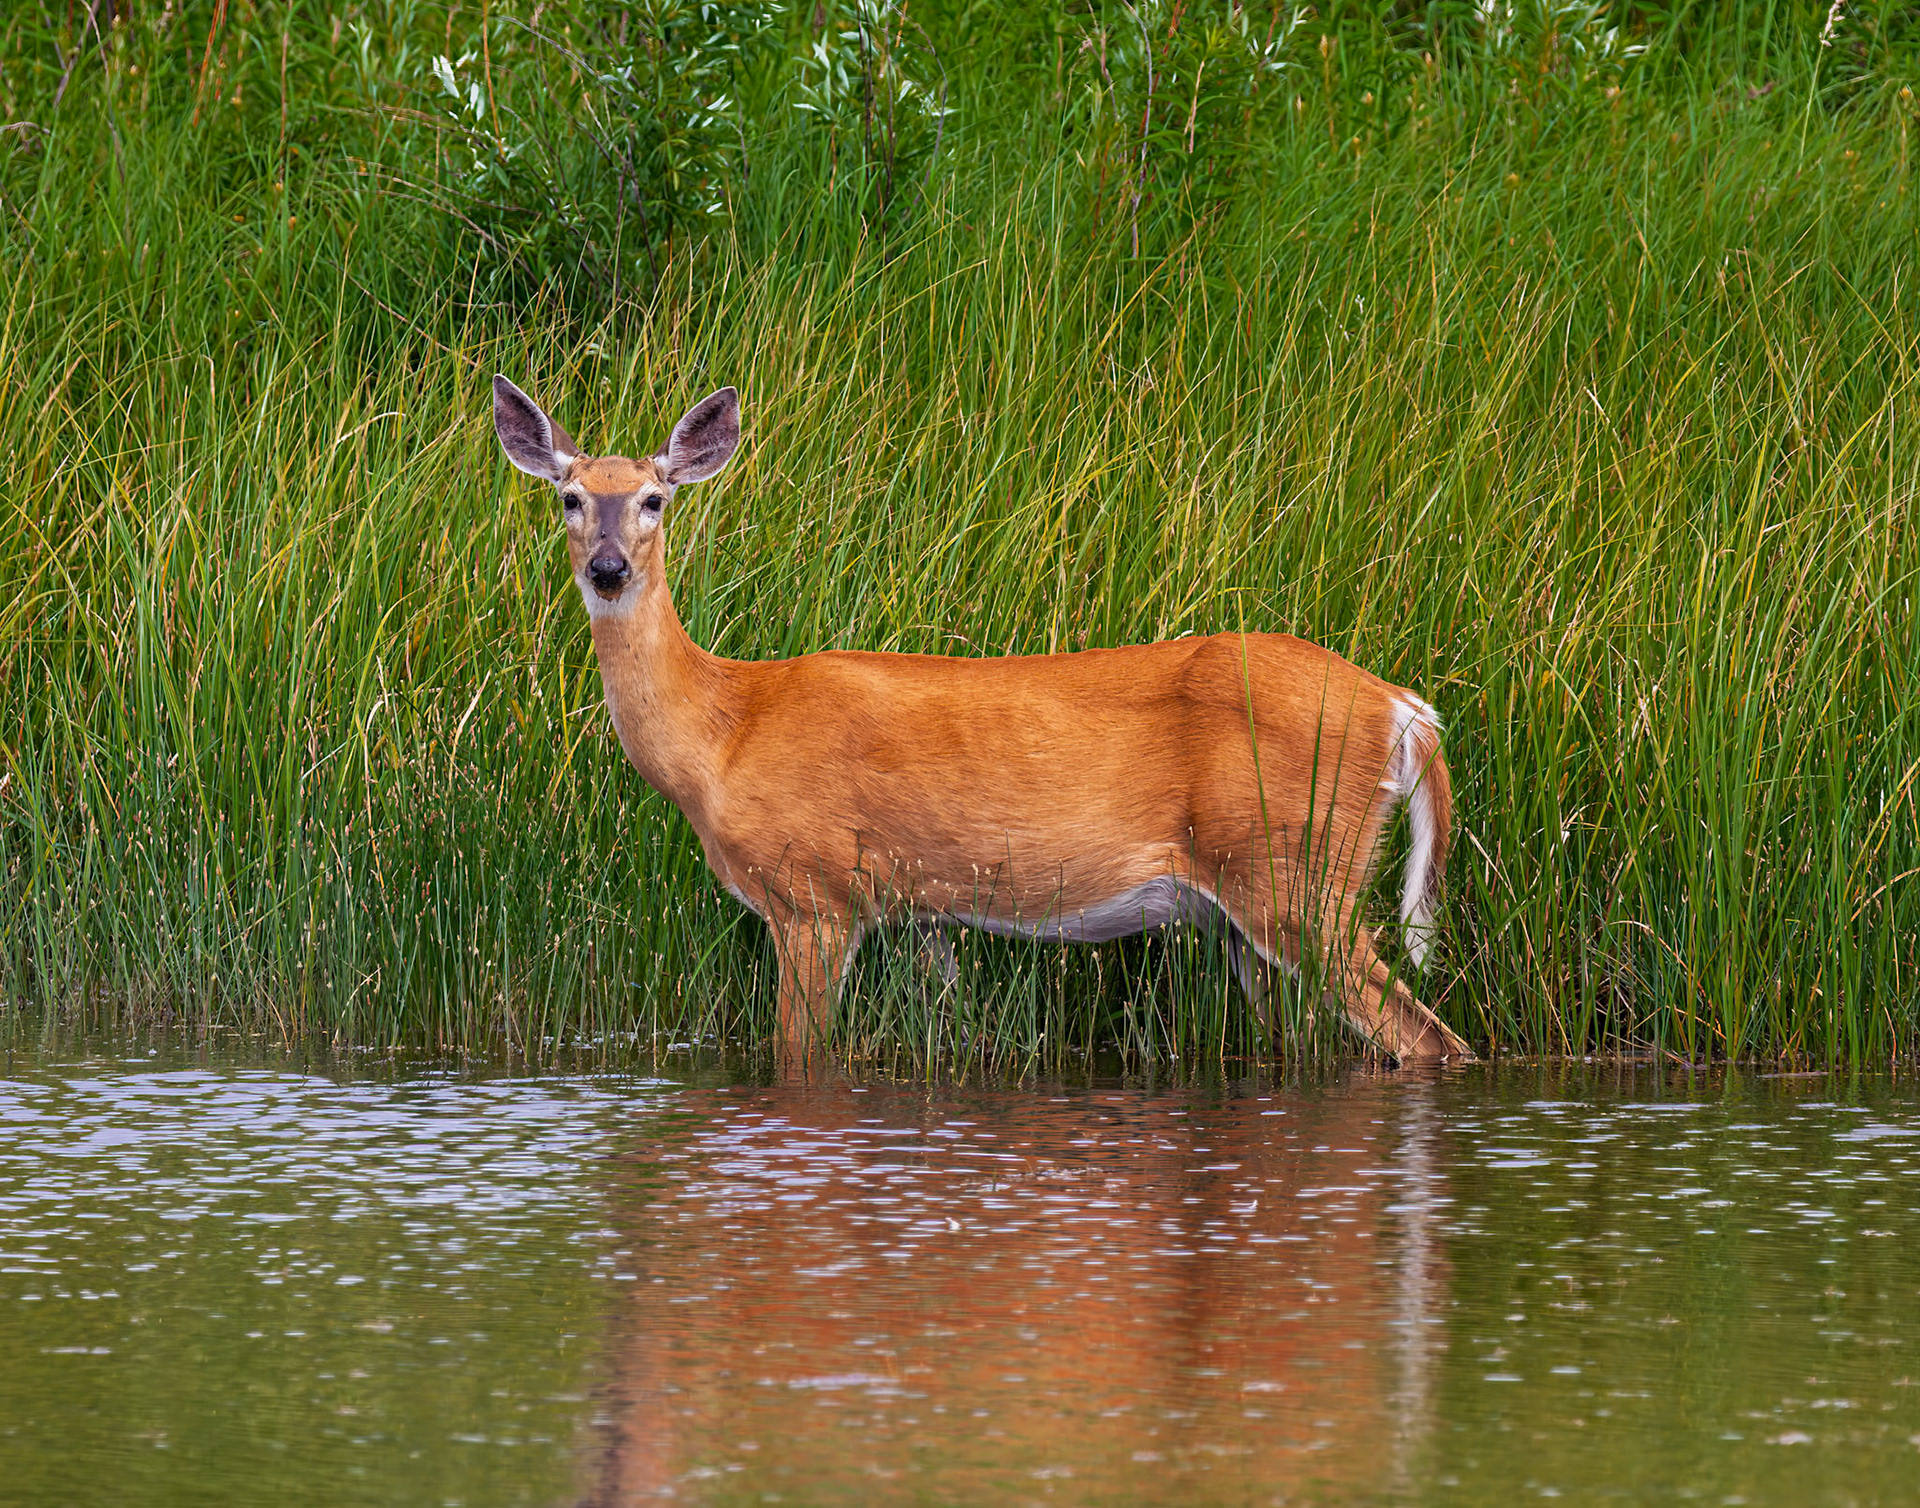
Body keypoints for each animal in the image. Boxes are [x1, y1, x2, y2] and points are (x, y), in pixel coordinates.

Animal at [492, 376, 1470, 1071]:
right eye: (569, 497)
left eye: (654, 499)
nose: (610, 569)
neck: (723, 733)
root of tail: (1403, 709)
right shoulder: (922, 911)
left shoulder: (813, 891)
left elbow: (799, 1057)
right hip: (1250, 909)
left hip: (1295, 868)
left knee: (1429, 1038)